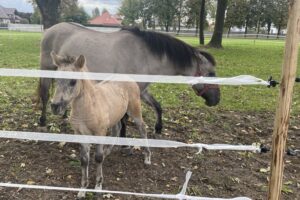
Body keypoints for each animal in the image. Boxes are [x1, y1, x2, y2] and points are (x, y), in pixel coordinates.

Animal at [38, 23, 220, 136]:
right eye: (211, 73)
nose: (217, 99)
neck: (145, 55)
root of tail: (50, 29)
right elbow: (125, 117)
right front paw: (123, 140)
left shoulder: (141, 90)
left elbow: (157, 107)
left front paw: (158, 128)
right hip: (47, 71)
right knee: (45, 95)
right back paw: (42, 121)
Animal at [50, 51, 152, 198]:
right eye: (55, 79)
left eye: (73, 81)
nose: (55, 106)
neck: (88, 108)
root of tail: (127, 77)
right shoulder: (80, 134)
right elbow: (84, 159)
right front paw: (83, 189)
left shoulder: (100, 132)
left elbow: (97, 158)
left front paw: (98, 186)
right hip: (116, 115)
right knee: (117, 129)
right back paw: (107, 152)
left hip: (135, 110)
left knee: (142, 128)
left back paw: (147, 158)